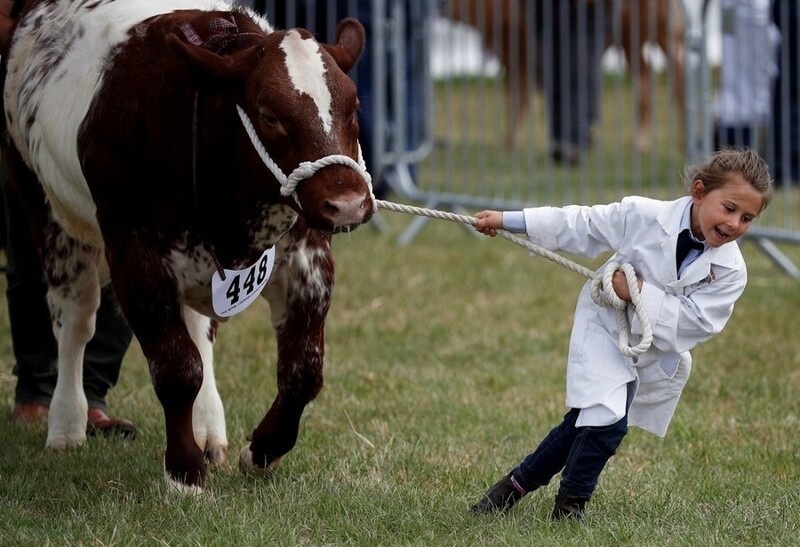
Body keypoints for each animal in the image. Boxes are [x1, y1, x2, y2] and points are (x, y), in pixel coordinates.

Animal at [0, 0, 376, 494]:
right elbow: (177, 368)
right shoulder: (135, 259)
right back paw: (65, 424)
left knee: (199, 332)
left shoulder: (307, 260)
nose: (348, 204)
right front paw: (184, 471)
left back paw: (208, 428)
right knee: (75, 323)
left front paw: (262, 450)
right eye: (269, 114)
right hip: (45, 209)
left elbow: (303, 371)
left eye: (354, 105)